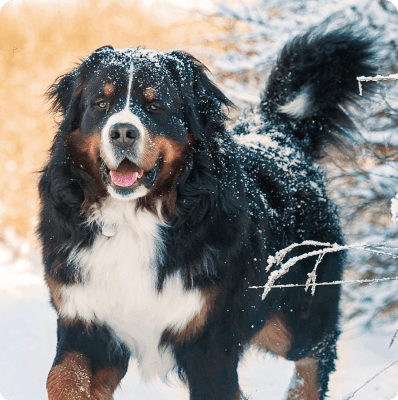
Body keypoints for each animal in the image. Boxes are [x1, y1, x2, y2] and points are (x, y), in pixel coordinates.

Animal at [39, 22, 376, 400]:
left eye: (155, 106)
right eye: (101, 103)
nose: (122, 131)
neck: (134, 218)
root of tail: (277, 134)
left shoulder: (209, 343)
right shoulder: (86, 321)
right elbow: (63, 377)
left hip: (291, 315)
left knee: (318, 349)